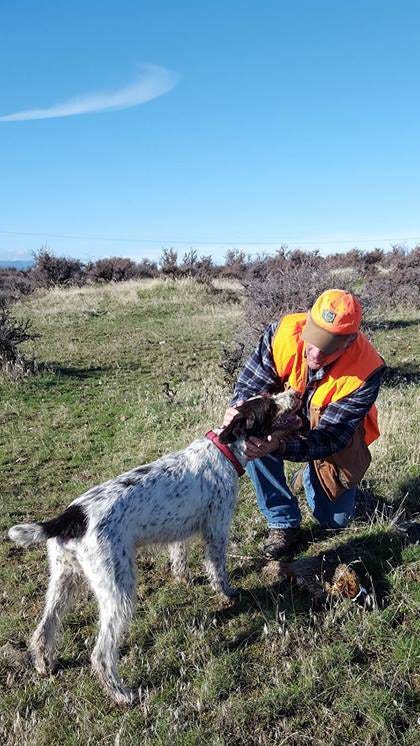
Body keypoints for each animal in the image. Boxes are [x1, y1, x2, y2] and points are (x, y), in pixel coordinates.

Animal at [8, 390, 300, 705]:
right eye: (270, 405)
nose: (295, 394)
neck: (225, 450)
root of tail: (72, 517)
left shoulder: (181, 532)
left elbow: (179, 557)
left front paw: (183, 578)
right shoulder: (216, 529)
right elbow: (217, 569)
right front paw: (227, 593)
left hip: (64, 579)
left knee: (44, 629)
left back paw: (44, 664)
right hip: (118, 590)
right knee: (100, 655)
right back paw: (122, 694)